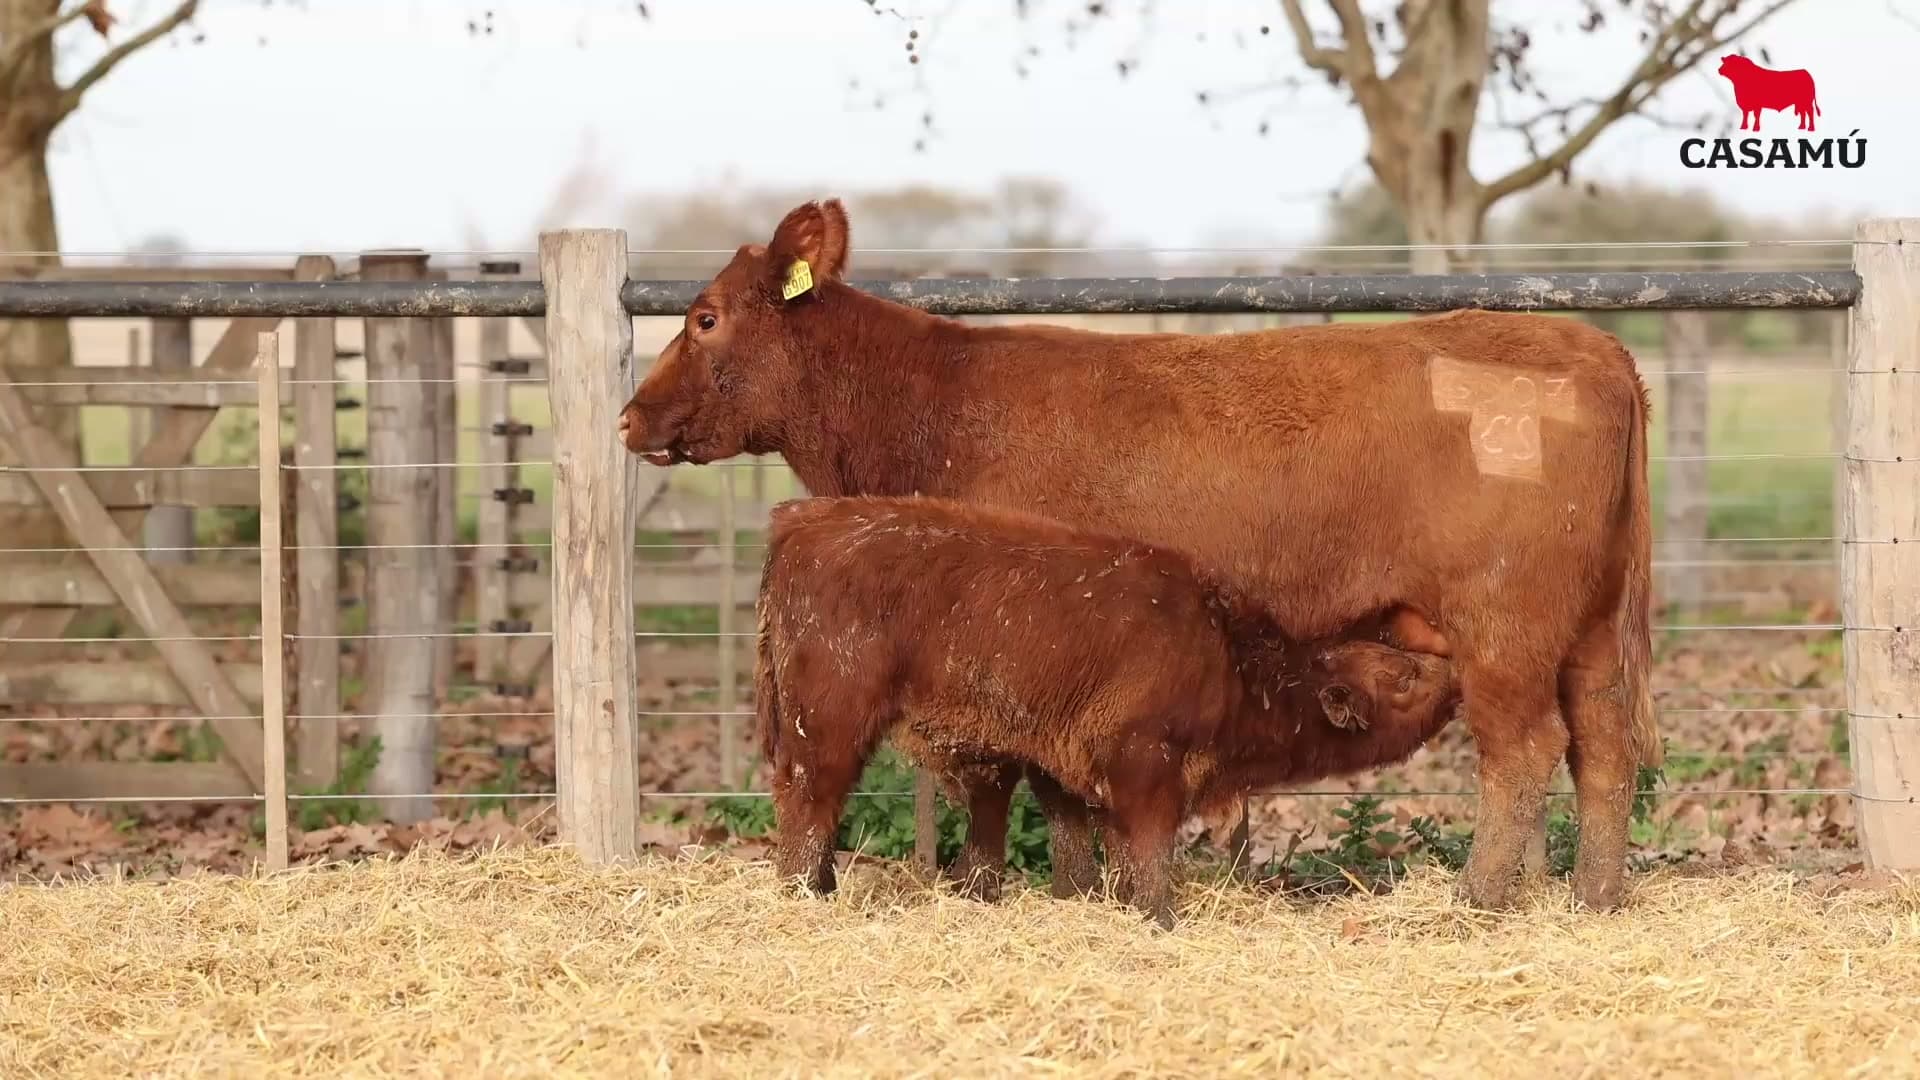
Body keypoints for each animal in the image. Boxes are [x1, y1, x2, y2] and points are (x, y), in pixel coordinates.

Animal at [754, 495, 1463, 928]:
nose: (1456, 674)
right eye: (1405, 678)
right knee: (810, 801)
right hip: (829, 728)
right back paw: (802, 893)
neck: (1226, 654)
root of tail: (805, 519)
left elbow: (1112, 849)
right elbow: (1150, 850)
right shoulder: (1146, 766)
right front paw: (1161, 918)